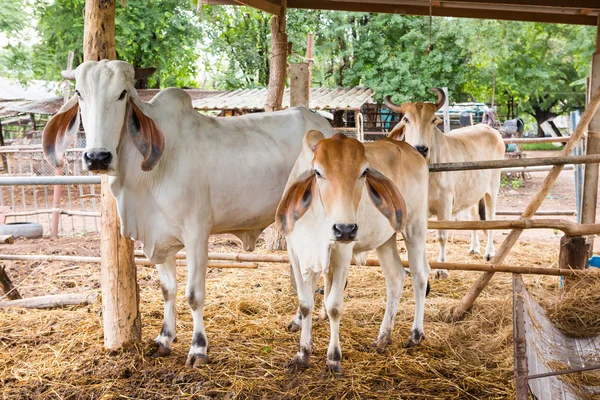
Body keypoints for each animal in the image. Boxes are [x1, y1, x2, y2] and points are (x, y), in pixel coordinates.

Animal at [42, 58, 332, 366]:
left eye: (122, 93)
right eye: (79, 93)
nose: (97, 157)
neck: (149, 176)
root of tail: (325, 126)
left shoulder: (196, 235)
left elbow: (194, 295)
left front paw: (198, 347)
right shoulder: (157, 238)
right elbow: (167, 290)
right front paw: (164, 338)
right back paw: (301, 319)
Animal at [276, 131, 432, 372]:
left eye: (364, 172)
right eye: (317, 172)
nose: (345, 229)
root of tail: (412, 150)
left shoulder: (342, 252)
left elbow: (333, 306)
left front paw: (333, 358)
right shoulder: (296, 253)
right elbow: (305, 304)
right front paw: (302, 354)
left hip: (415, 228)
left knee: (420, 276)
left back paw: (415, 334)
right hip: (385, 239)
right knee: (396, 277)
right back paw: (383, 338)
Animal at [384, 90, 506, 278]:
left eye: (433, 120)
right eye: (406, 119)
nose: (421, 149)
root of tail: (490, 129)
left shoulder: (444, 205)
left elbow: (441, 235)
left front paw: (441, 268)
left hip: (493, 187)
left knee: (491, 219)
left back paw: (489, 252)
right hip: (472, 193)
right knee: (474, 218)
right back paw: (474, 248)